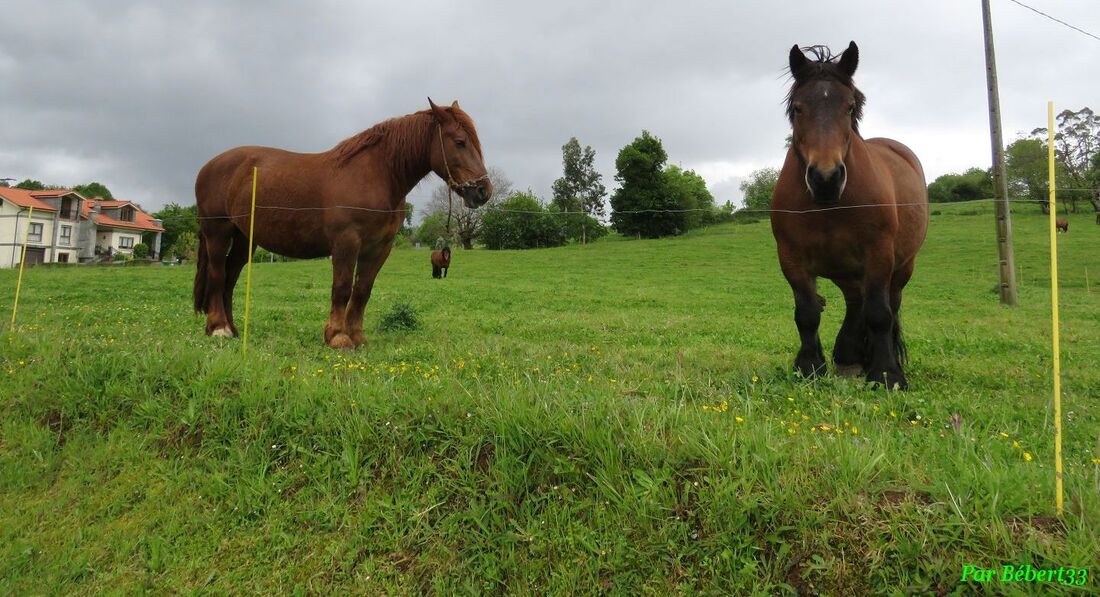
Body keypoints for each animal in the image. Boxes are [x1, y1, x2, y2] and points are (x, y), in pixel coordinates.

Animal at [194, 99, 495, 349]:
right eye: (459, 142)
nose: (483, 191)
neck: (376, 174)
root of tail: (209, 166)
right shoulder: (346, 242)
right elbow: (342, 288)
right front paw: (337, 336)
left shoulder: (379, 248)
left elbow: (362, 290)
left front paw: (357, 336)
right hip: (217, 232)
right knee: (218, 274)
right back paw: (219, 328)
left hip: (244, 238)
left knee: (230, 277)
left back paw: (232, 329)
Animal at [774, 44, 928, 391]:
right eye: (799, 108)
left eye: (849, 107)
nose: (826, 178)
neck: (828, 205)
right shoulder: (791, 259)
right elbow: (807, 313)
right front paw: (809, 367)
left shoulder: (879, 255)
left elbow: (880, 314)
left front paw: (887, 374)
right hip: (847, 271)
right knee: (855, 302)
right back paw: (849, 355)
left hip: (901, 267)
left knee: (888, 305)